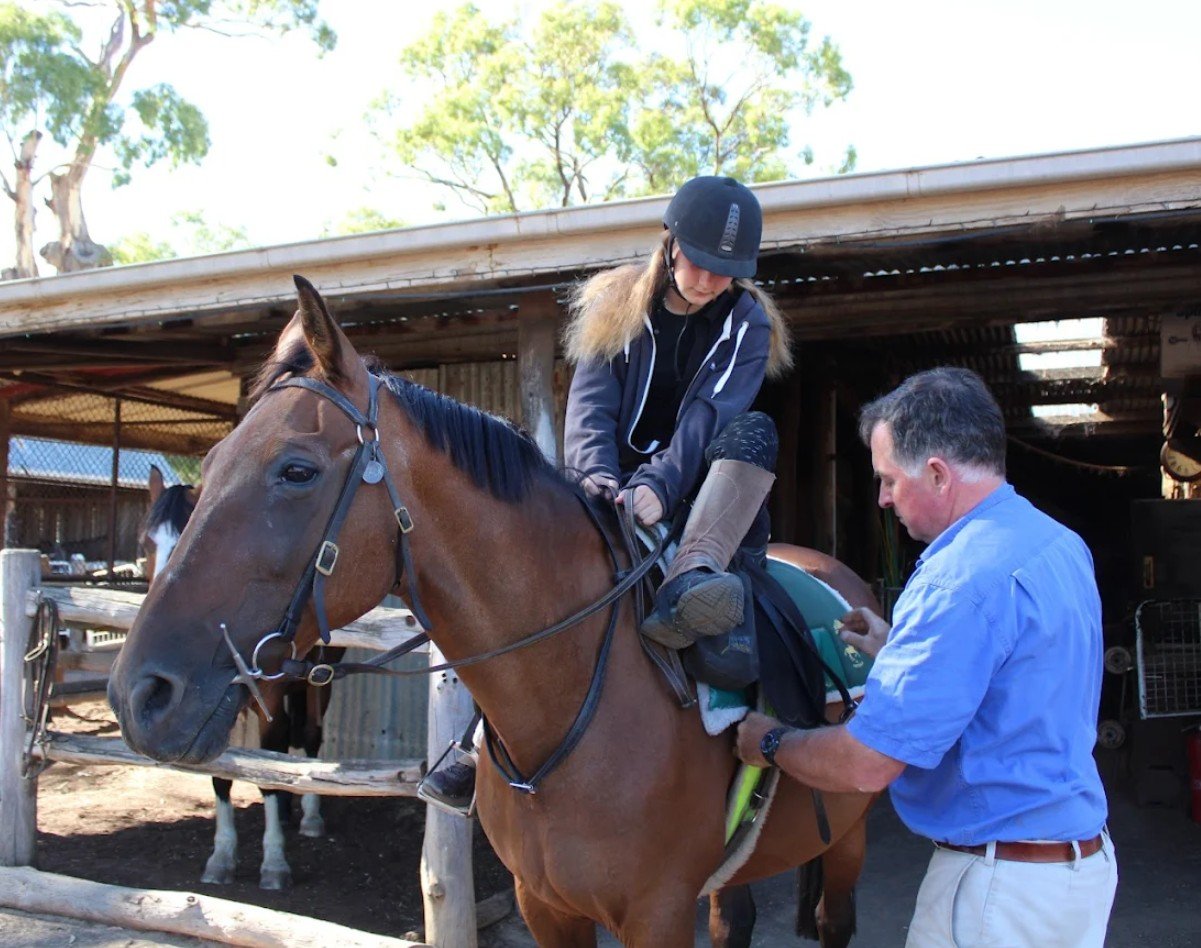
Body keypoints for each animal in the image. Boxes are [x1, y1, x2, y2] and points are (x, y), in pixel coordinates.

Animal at [140, 465, 344, 890]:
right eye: (146, 543)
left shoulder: (270, 698)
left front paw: (274, 862)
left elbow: (270, 763)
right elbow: (223, 775)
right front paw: (221, 857)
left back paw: (309, 816)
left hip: (318, 683)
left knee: (308, 737)